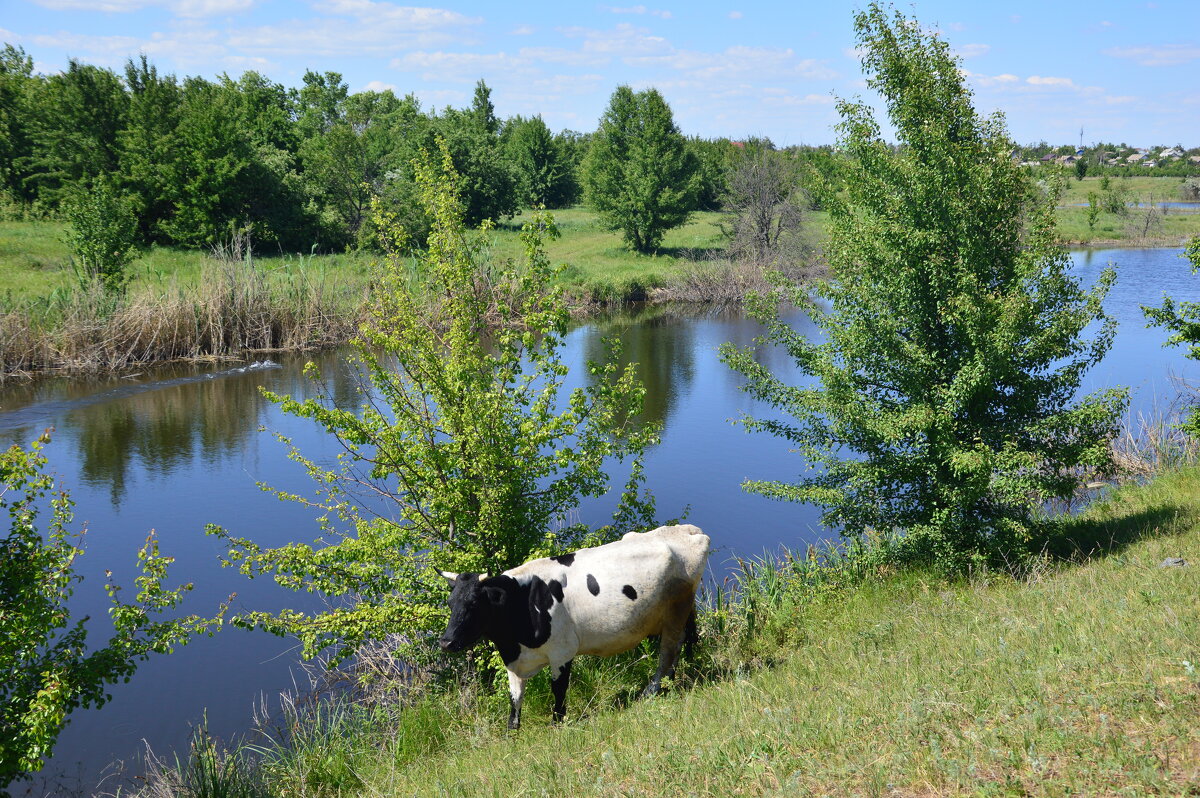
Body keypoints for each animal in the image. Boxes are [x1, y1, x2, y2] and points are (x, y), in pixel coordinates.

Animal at [436, 523, 705, 729]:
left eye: (473, 603)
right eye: (450, 603)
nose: (446, 642)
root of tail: (687, 530)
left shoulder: (562, 651)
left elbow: (559, 688)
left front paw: (557, 723)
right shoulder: (514, 660)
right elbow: (515, 698)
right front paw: (511, 731)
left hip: (676, 610)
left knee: (669, 649)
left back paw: (654, 689)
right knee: (686, 641)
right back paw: (680, 676)